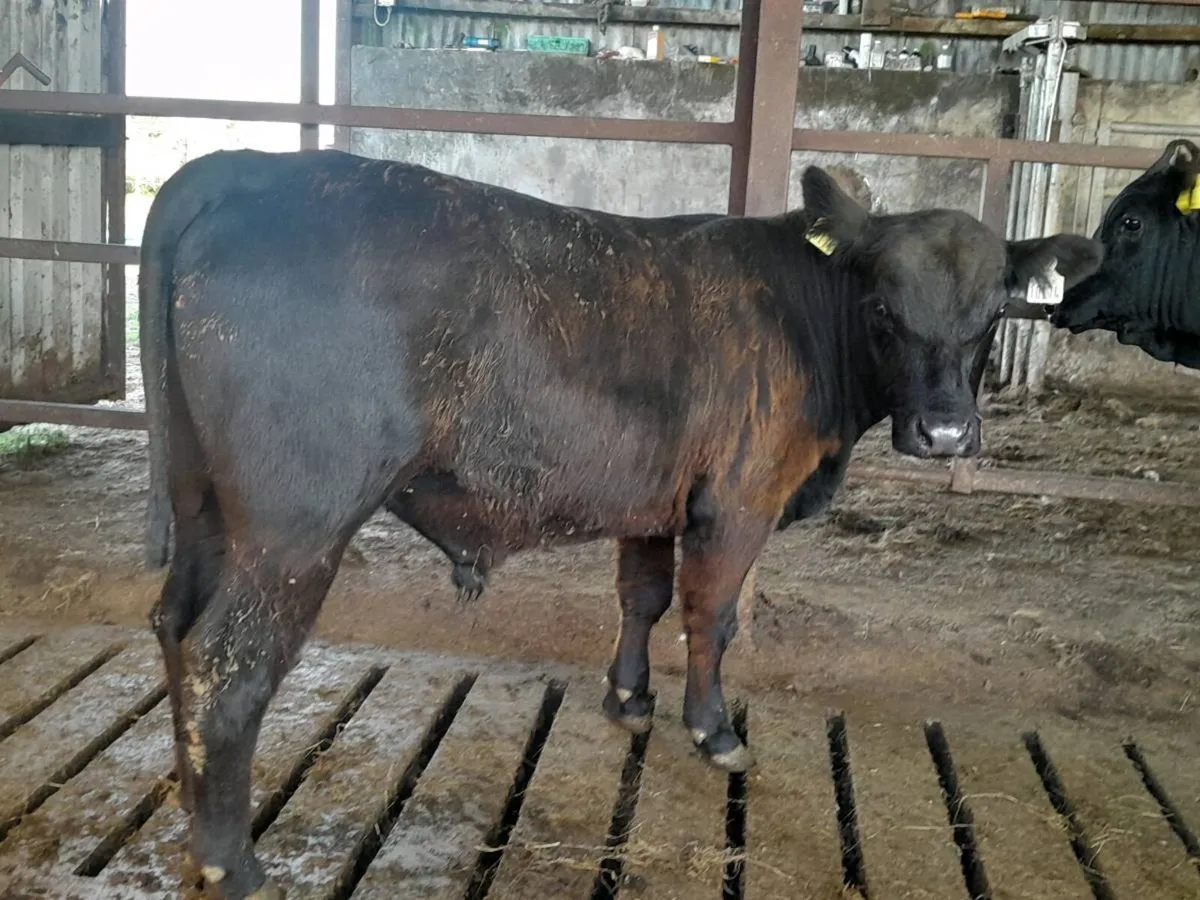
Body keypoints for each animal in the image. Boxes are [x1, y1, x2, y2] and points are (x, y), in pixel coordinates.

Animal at [138, 147, 1101, 899]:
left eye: (993, 315)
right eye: (882, 309)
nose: (944, 434)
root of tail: (245, 165)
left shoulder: (654, 500)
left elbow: (641, 597)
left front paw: (630, 699)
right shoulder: (737, 502)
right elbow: (710, 617)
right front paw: (713, 730)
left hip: (205, 509)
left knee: (175, 627)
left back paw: (192, 811)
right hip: (294, 529)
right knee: (228, 668)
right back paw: (233, 865)